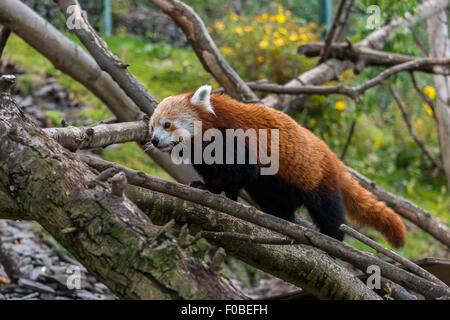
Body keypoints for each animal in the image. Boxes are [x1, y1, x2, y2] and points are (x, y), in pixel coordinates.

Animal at [149, 85, 406, 248]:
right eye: (152, 126)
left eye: (167, 124)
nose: (154, 140)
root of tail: (333, 158)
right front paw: (205, 184)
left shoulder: (234, 139)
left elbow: (244, 171)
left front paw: (217, 191)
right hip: (277, 187)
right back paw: (279, 216)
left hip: (317, 177)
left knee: (328, 209)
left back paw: (332, 238)